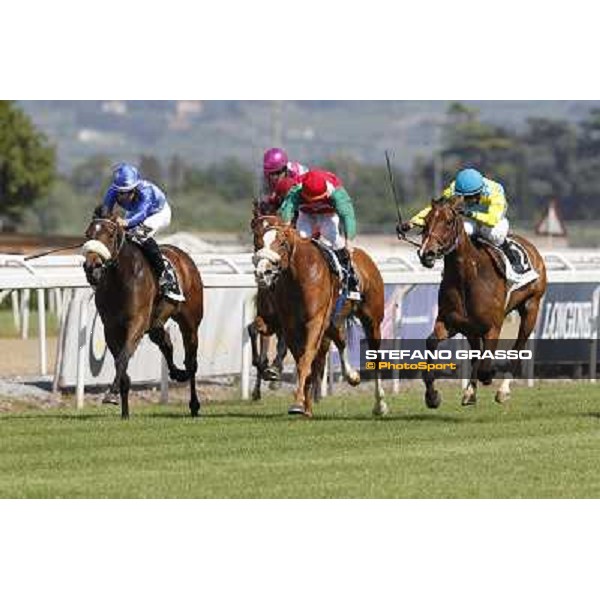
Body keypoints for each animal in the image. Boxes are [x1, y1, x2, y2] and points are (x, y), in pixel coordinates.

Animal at [82, 209, 204, 420]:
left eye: (111, 235)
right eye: (88, 235)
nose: (92, 267)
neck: (119, 278)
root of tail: (184, 257)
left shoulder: (137, 323)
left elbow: (122, 358)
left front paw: (111, 394)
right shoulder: (110, 328)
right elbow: (120, 362)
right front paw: (124, 412)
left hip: (189, 322)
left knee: (191, 361)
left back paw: (194, 404)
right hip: (155, 323)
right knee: (166, 343)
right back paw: (177, 373)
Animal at [251, 214, 386, 418]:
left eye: (282, 242)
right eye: (258, 241)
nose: (262, 273)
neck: (299, 278)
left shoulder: (314, 322)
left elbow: (306, 358)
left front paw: (298, 403)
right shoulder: (287, 325)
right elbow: (301, 359)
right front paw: (304, 405)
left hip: (372, 321)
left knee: (375, 357)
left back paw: (380, 405)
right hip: (332, 322)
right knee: (341, 341)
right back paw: (352, 376)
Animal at [414, 197, 548, 408]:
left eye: (448, 222)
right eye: (425, 220)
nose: (427, 253)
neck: (467, 277)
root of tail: (531, 246)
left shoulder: (493, 326)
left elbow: (486, 367)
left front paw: (490, 375)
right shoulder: (452, 322)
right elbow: (431, 342)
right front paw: (432, 396)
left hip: (531, 307)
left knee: (518, 347)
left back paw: (503, 390)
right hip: (471, 329)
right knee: (477, 353)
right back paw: (470, 392)